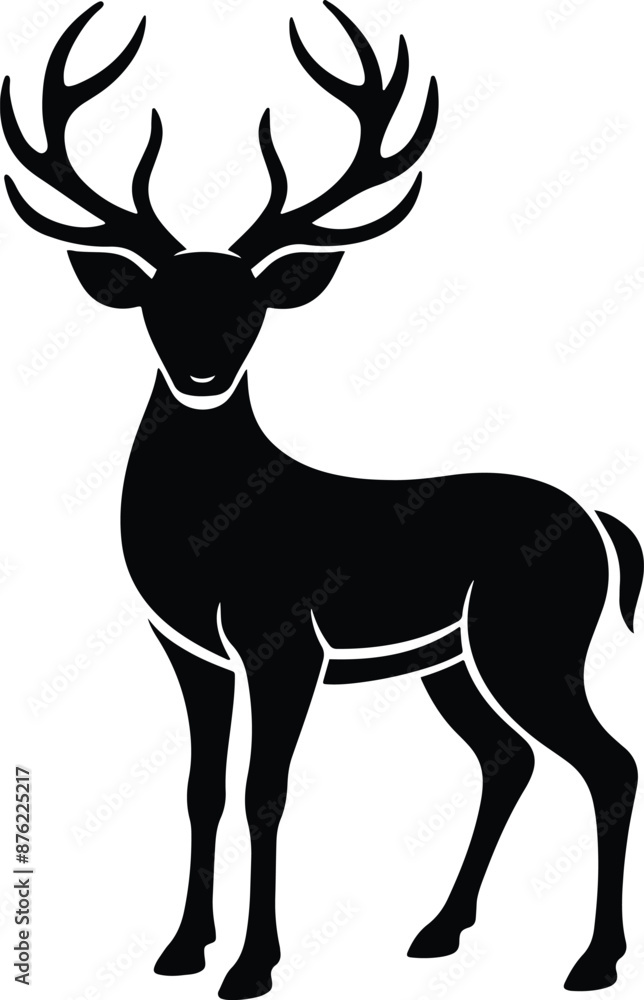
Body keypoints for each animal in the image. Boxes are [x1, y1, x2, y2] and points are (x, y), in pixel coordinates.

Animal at [2, 2, 642, 997]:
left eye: (251, 306)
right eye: (157, 305)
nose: (202, 372)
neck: (213, 536)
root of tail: (603, 526)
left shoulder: (284, 639)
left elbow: (265, 793)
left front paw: (253, 966)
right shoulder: (187, 648)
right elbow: (201, 790)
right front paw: (181, 950)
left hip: (531, 642)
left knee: (609, 765)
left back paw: (593, 961)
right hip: (453, 660)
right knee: (507, 759)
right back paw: (440, 931)